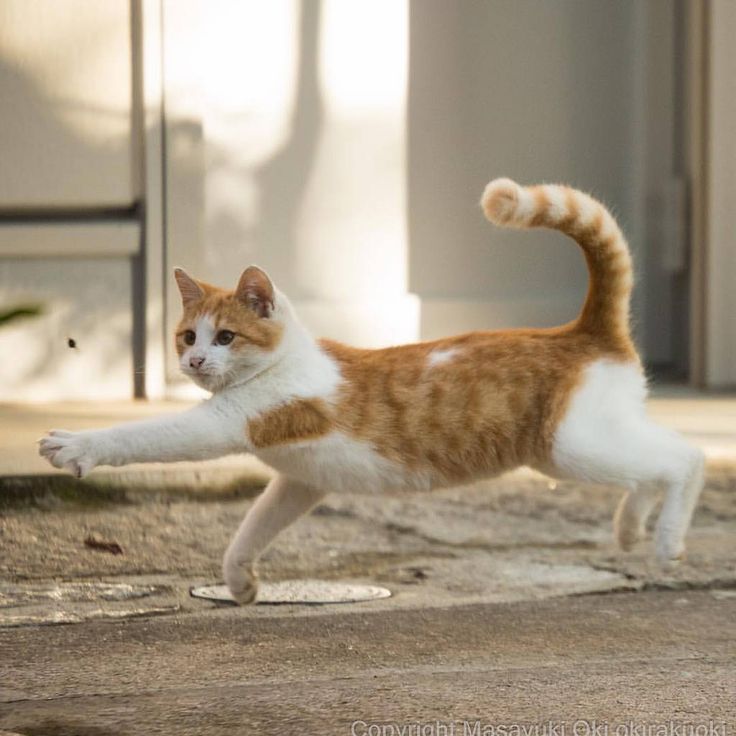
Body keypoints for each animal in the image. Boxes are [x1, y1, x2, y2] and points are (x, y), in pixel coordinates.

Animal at [41, 178, 708, 604]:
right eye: (186, 336)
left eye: (226, 335)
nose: (197, 359)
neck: (287, 361)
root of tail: (586, 329)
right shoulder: (300, 482)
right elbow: (251, 528)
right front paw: (240, 582)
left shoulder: (225, 423)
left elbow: (145, 434)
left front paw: (76, 445)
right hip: (578, 448)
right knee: (651, 465)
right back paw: (630, 528)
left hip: (573, 446)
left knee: (686, 457)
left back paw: (668, 541)